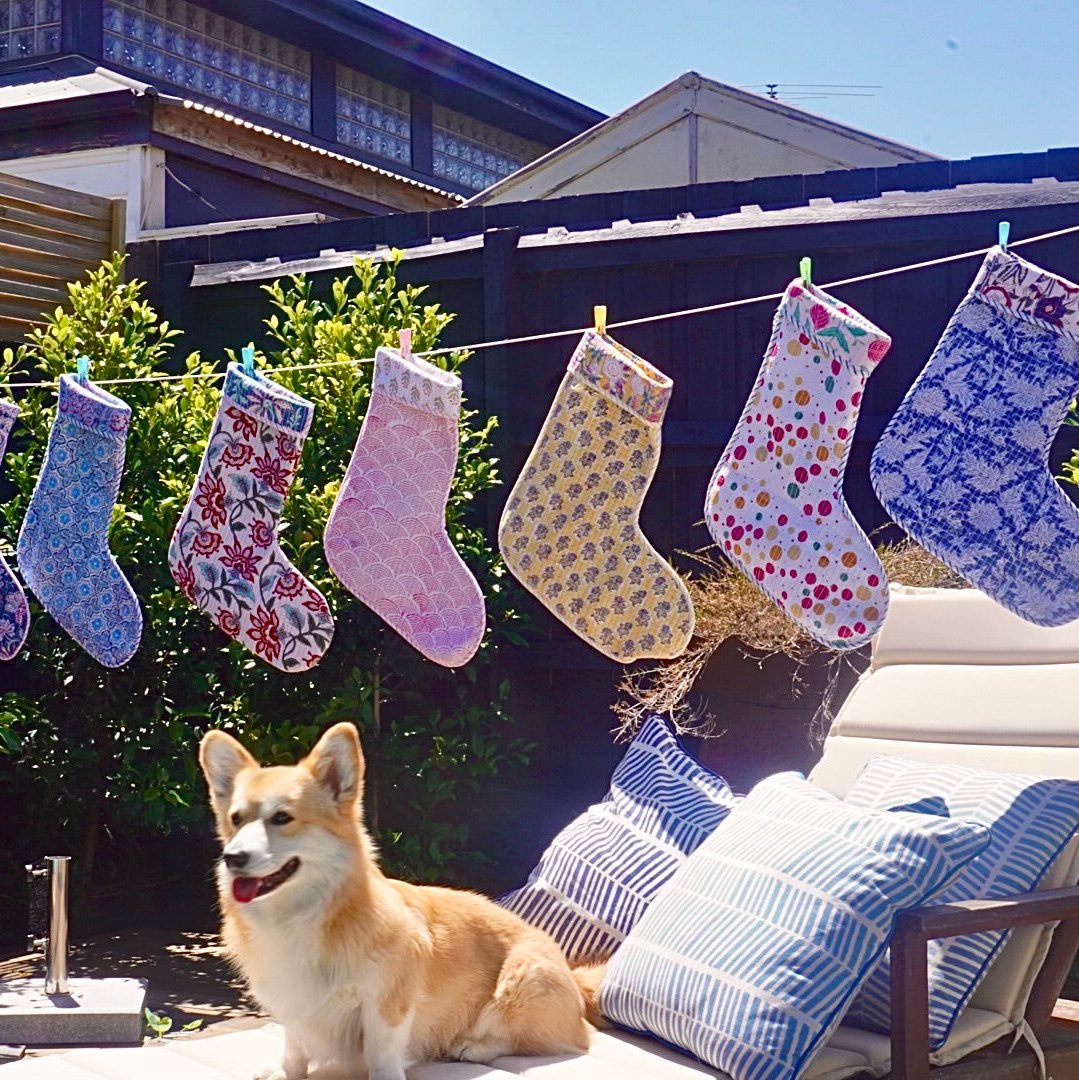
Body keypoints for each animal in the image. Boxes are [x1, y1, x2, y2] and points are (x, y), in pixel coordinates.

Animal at [203, 721, 600, 1080]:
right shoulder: (293, 1004)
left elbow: (379, 1051)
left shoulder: (387, 1002)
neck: (298, 915)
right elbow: (294, 1046)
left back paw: (472, 1046)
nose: (233, 858)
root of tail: (574, 978)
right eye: (235, 819)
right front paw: (286, 1072)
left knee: (552, 1038)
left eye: (283, 818)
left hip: (521, 982)